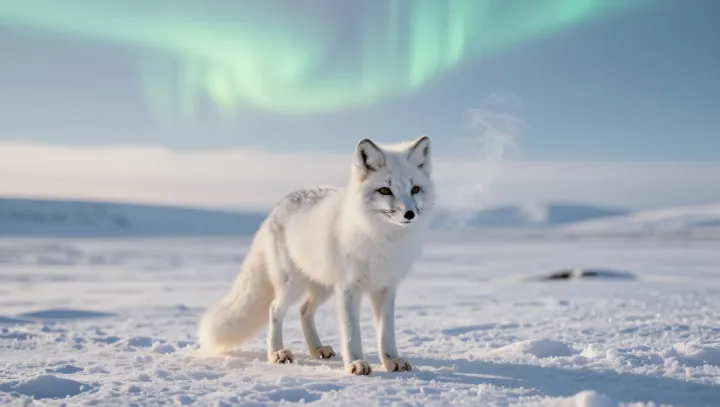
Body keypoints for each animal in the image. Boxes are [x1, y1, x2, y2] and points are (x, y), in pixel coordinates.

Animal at [197, 136, 436, 375]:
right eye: (385, 190)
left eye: (415, 189)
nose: (410, 214)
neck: (383, 238)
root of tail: (275, 209)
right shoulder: (349, 288)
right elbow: (351, 332)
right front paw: (356, 363)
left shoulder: (385, 287)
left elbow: (386, 332)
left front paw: (391, 360)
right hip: (293, 284)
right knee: (275, 310)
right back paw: (277, 353)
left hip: (323, 287)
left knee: (304, 310)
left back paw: (316, 349)